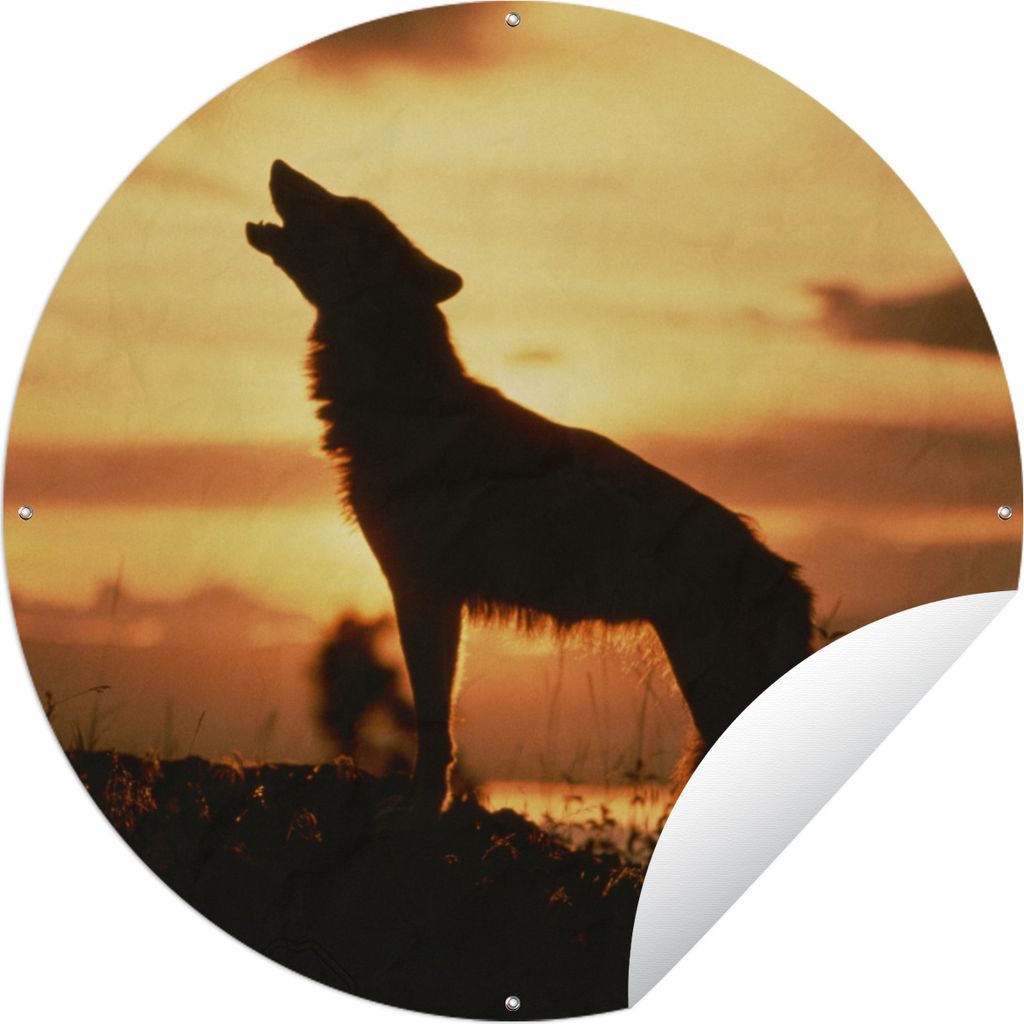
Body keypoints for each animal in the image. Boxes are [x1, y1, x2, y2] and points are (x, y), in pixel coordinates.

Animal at [248, 160, 814, 814]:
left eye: (347, 208)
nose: (279, 165)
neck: (398, 400)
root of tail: (787, 577)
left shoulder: (419, 590)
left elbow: (432, 721)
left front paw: (419, 806)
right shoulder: (436, 597)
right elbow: (439, 722)